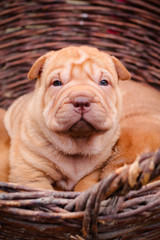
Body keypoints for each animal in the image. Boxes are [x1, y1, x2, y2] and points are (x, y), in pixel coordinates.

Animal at [4, 46, 131, 190]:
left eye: (103, 82)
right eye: (57, 83)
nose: (81, 101)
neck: (77, 145)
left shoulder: (96, 170)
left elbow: (85, 184)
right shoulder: (30, 173)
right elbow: (42, 188)